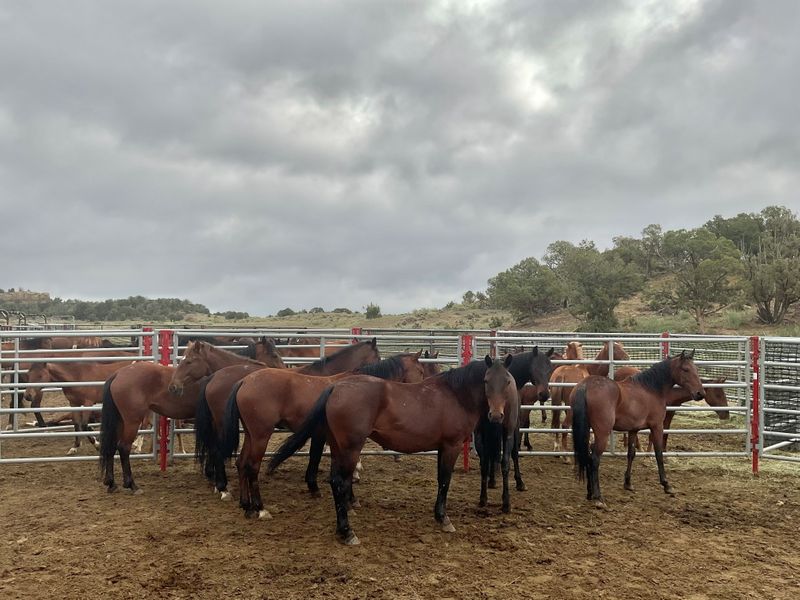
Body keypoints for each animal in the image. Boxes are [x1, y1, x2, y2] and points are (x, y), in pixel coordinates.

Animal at [218, 352, 427, 516]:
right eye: (421, 371)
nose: (422, 393)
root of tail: (244, 381)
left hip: (251, 434)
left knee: (242, 463)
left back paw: (246, 505)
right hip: (261, 435)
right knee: (252, 467)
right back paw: (260, 508)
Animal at [266, 355, 518, 545]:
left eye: (506, 381)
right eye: (486, 380)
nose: (496, 415)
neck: (455, 395)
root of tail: (336, 386)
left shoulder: (442, 448)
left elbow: (440, 479)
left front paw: (438, 515)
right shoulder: (451, 446)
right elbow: (445, 480)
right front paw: (444, 518)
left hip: (338, 447)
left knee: (335, 481)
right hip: (350, 448)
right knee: (340, 482)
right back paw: (347, 532)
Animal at [473, 347, 555, 509]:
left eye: (550, 368)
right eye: (535, 368)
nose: (544, 394)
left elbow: (494, 454)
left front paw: (492, 481)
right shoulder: (514, 426)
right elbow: (514, 453)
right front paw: (519, 482)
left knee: (485, 460)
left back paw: (483, 497)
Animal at [569, 351, 705, 508]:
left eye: (695, 369)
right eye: (685, 369)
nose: (700, 393)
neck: (651, 389)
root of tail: (585, 386)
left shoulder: (633, 430)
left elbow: (631, 454)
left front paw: (628, 483)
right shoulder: (657, 426)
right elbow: (658, 453)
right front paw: (666, 485)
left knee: (588, 456)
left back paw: (590, 493)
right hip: (602, 433)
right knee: (595, 458)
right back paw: (598, 498)